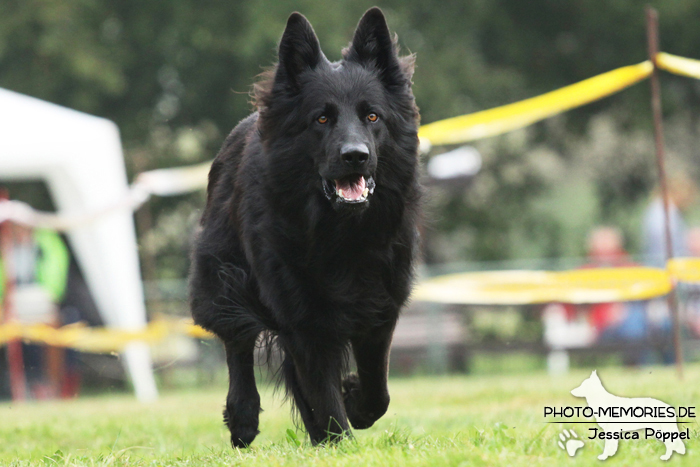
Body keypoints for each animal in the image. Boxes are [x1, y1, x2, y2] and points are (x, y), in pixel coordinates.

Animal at [189, 6, 422, 446]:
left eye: (372, 115)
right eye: (322, 118)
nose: (355, 156)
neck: (342, 235)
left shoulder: (379, 311)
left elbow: (376, 391)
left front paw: (354, 403)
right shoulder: (303, 319)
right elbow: (323, 395)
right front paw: (341, 440)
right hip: (223, 278)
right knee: (236, 341)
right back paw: (243, 417)